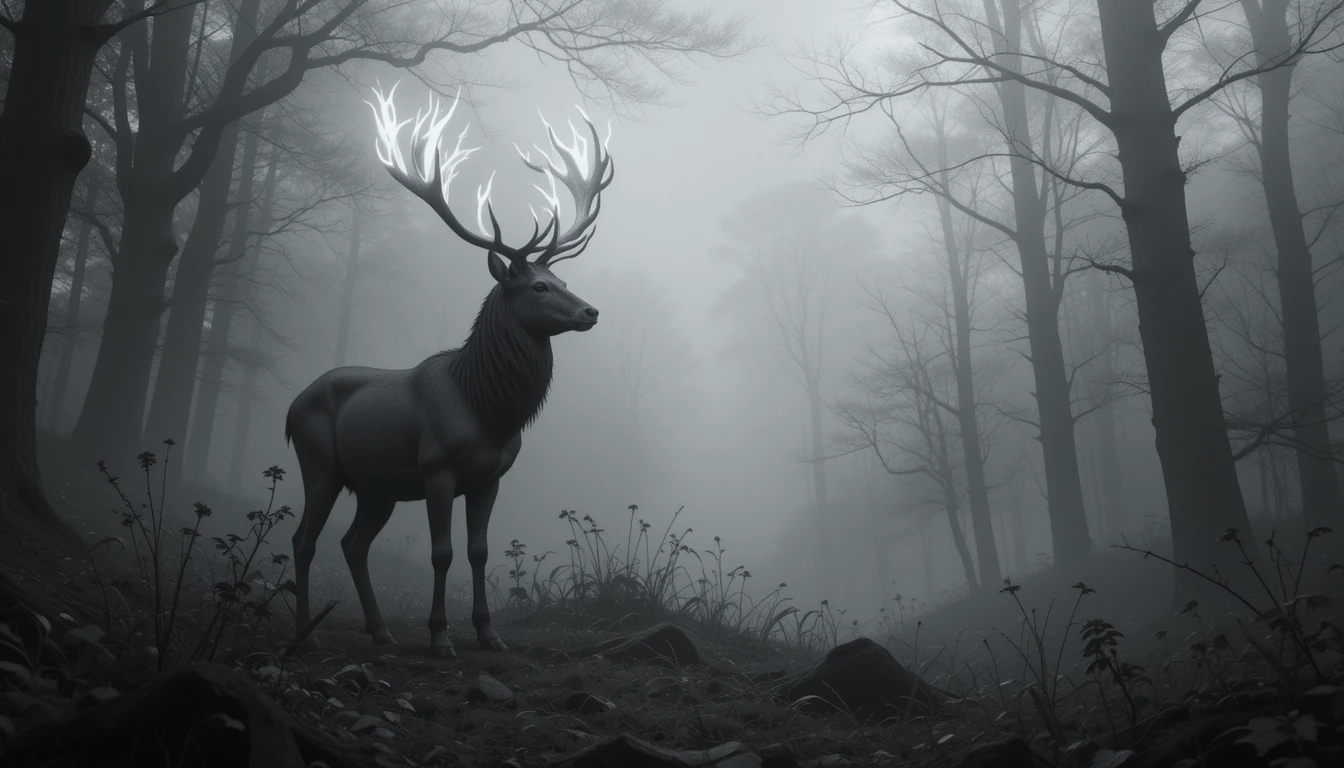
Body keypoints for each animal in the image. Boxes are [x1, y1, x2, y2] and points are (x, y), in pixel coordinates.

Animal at [285, 83, 613, 658]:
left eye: (563, 279)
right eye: (539, 286)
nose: (590, 311)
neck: (490, 411)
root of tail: (288, 408)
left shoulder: (490, 477)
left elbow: (479, 551)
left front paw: (488, 633)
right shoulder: (437, 468)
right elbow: (443, 553)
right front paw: (440, 637)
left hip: (375, 487)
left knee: (352, 543)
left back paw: (381, 631)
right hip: (319, 462)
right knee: (305, 540)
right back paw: (307, 633)